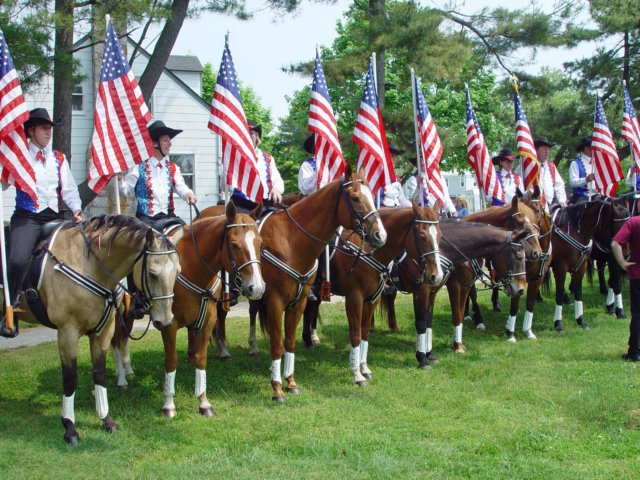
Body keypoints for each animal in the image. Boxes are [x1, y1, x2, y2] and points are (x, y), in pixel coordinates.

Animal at [4, 216, 180, 444]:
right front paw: (69, 428)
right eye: (152, 273)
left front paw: (106, 420)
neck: (88, 265)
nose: (165, 322)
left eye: (177, 273)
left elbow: (99, 373)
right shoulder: (67, 332)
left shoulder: (103, 330)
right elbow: (70, 379)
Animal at [112, 202, 264, 416]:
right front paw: (168, 405)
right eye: (234, 244)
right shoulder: (168, 324)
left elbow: (200, 358)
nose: (256, 288)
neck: (190, 269)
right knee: (117, 340)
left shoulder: (207, 321)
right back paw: (121, 379)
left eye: (260, 243)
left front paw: (204, 402)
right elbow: (171, 361)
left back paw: (128, 371)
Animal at [202, 165, 388, 402]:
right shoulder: (275, 302)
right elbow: (277, 344)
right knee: (221, 315)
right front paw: (277, 388)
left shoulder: (299, 301)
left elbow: (289, 341)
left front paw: (290, 382)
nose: (380, 235)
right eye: (355, 197)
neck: (292, 241)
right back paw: (224, 351)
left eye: (372, 196)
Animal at [300, 202, 440, 386]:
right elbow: (355, 333)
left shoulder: (373, 299)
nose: (435, 275)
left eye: (440, 236)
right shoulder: (354, 298)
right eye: (422, 236)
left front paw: (364, 369)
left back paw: (309, 340)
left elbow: (365, 332)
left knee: (310, 308)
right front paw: (356, 374)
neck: (369, 251)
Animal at [544, 198, 632, 330]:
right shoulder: (561, 266)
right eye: (621, 228)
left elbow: (580, 290)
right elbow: (616, 284)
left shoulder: (582, 265)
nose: (626, 255)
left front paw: (581, 320)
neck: (574, 230)